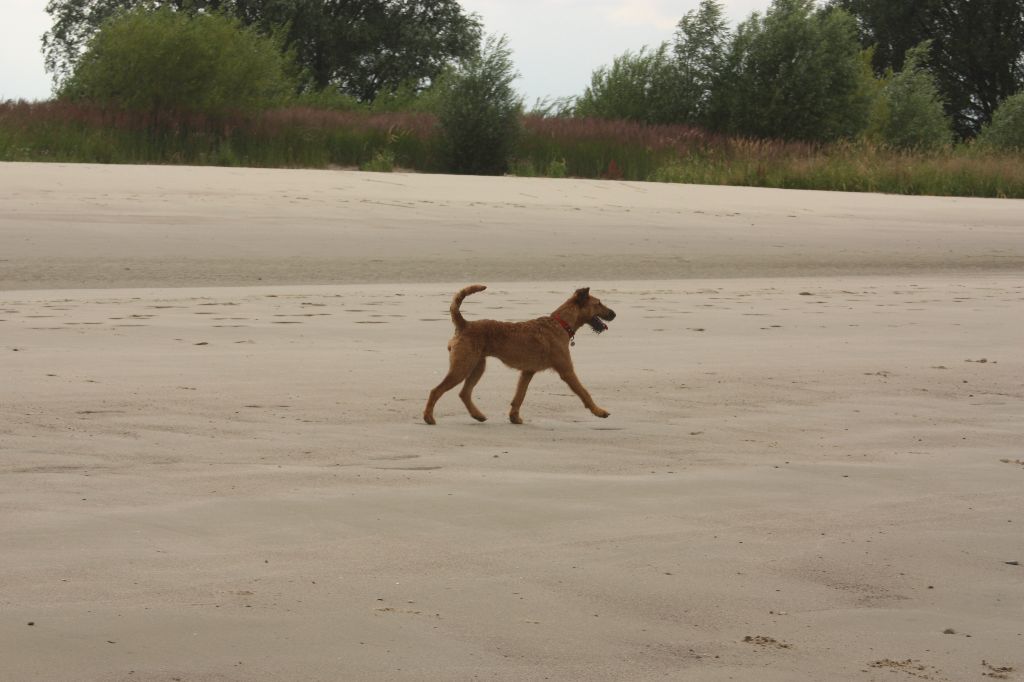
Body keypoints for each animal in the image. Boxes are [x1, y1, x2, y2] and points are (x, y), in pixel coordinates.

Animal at [423, 285, 616, 425]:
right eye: (598, 303)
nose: (614, 314)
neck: (560, 323)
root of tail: (464, 324)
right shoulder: (566, 371)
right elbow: (584, 393)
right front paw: (599, 411)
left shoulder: (527, 372)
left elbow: (519, 396)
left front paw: (514, 417)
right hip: (462, 367)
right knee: (436, 390)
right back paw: (428, 418)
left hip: (477, 366)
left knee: (464, 393)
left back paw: (478, 415)